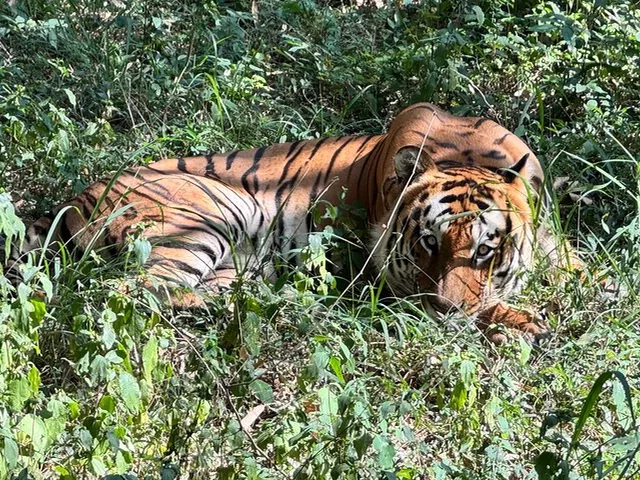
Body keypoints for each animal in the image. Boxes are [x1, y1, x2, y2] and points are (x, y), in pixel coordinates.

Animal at [5, 103, 566, 343]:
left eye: (485, 250)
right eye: (428, 243)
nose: (446, 312)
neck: (463, 153)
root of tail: (74, 198)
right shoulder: (385, 278)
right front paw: (522, 323)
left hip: (232, 258)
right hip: (205, 220)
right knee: (124, 291)